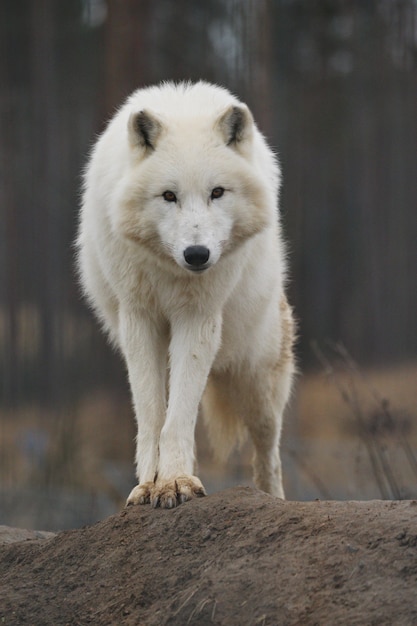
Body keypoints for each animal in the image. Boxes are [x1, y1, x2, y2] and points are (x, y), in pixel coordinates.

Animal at [76, 80, 294, 508]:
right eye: (168, 196)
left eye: (217, 192)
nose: (197, 254)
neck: (170, 274)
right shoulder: (139, 318)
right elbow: (151, 415)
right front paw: (150, 484)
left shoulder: (197, 318)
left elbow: (178, 417)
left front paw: (176, 481)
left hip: (256, 379)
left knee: (269, 448)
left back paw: (273, 498)